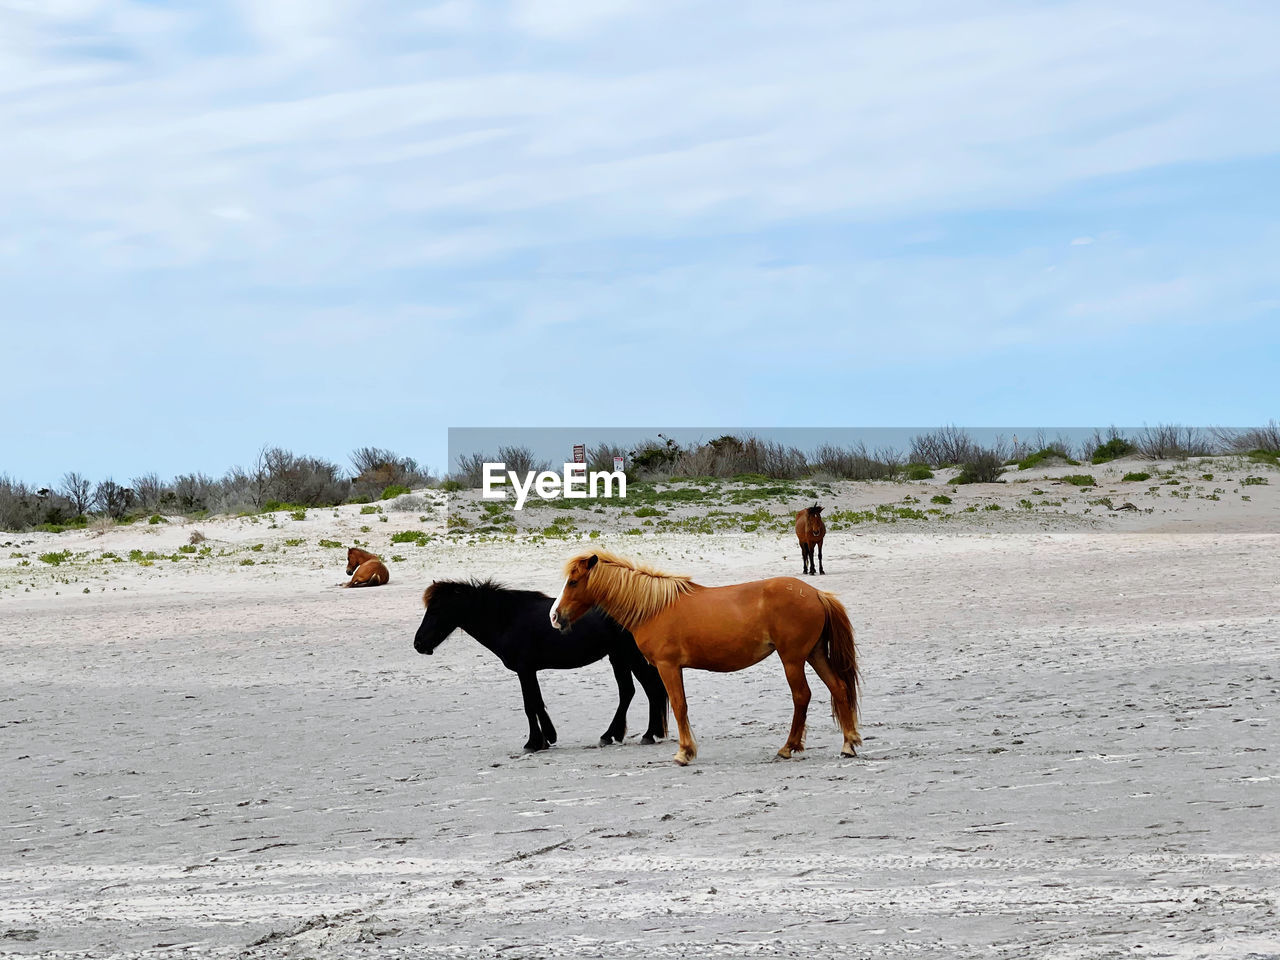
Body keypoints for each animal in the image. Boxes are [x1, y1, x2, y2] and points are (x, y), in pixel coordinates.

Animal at [414, 583, 670, 757]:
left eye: (435, 610)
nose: (418, 644)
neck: (507, 619)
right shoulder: (530, 670)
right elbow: (537, 703)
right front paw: (548, 737)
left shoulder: (524, 670)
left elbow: (530, 705)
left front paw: (533, 742)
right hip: (618, 657)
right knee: (630, 692)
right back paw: (615, 735)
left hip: (630, 656)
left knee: (651, 690)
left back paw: (646, 734)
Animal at [550, 552, 860, 773]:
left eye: (573, 582)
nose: (555, 617)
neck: (654, 607)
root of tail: (817, 593)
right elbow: (682, 706)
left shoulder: (668, 666)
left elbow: (678, 706)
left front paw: (684, 753)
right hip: (814, 655)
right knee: (839, 689)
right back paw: (848, 744)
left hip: (793, 660)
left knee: (801, 697)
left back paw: (788, 747)